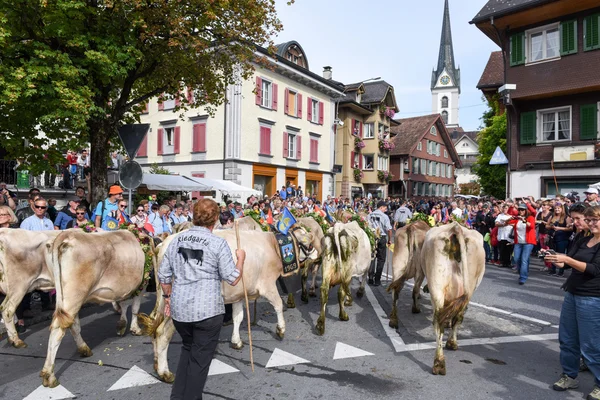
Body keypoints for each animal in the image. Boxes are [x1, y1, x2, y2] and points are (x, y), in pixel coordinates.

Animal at [39, 230, 145, 390]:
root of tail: (65, 235)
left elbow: (124, 303)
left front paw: (122, 325)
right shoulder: (141, 283)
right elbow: (135, 307)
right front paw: (135, 328)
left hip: (68, 297)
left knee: (72, 324)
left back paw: (84, 349)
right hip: (74, 294)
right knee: (58, 329)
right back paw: (49, 375)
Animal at [138, 223, 316, 382]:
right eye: (307, 242)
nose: (315, 253)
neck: (271, 245)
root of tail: (164, 243)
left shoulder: (238, 293)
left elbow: (238, 317)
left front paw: (236, 341)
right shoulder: (268, 285)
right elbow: (278, 304)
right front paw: (280, 329)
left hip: (162, 300)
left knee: (153, 327)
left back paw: (156, 364)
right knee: (162, 333)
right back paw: (165, 373)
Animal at [418, 222, 488, 376]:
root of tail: (456, 227)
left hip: (437, 286)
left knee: (440, 320)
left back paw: (439, 363)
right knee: (451, 318)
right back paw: (445, 353)